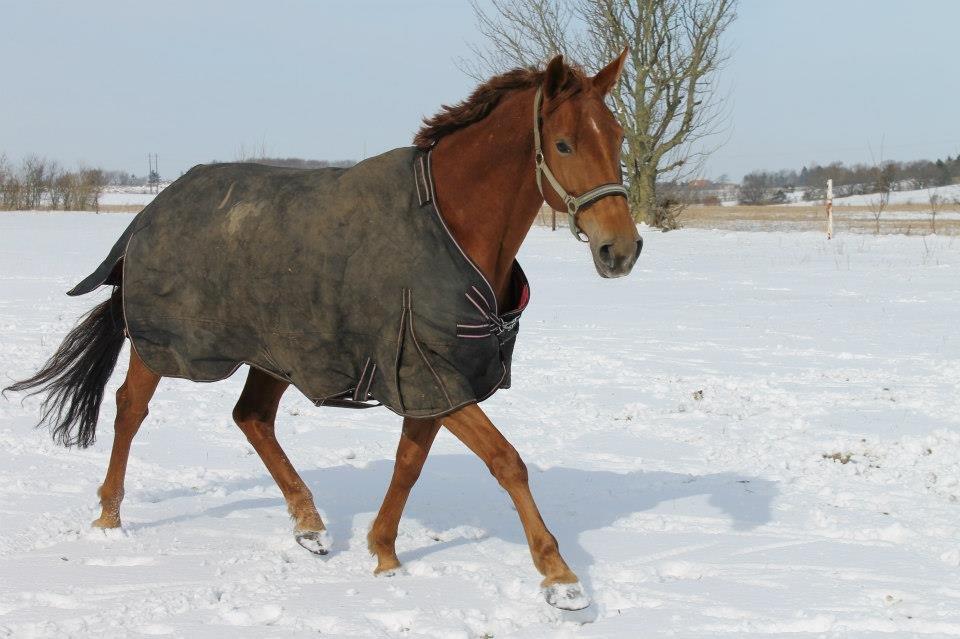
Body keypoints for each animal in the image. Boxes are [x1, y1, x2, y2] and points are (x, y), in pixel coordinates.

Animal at [7, 50, 640, 608]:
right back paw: (109, 517)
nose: (621, 250)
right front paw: (561, 579)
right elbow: (507, 462)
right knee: (130, 409)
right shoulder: (435, 374)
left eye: (617, 139)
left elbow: (409, 464)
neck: (449, 226)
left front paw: (383, 553)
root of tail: (150, 212)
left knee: (251, 418)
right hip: (162, 347)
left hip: (277, 352)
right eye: (563, 143)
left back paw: (309, 525)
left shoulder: (431, 379)